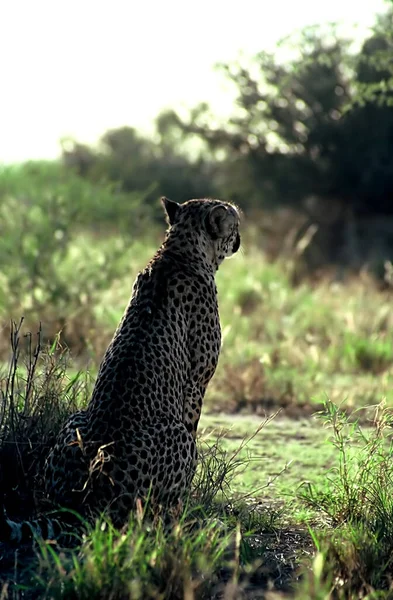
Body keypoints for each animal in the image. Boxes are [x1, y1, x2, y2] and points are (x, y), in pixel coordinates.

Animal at [1, 197, 240, 540]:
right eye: (234, 225)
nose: (239, 239)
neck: (178, 251)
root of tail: (85, 500)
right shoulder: (197, 382)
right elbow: (193, 421)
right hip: (175, 435)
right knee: (154, 513)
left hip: (74, 420)